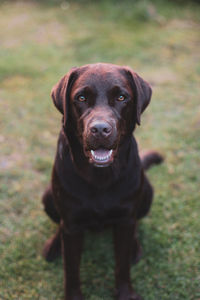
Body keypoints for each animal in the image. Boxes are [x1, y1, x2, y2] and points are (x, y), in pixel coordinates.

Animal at [41, 62, 163, 298]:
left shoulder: (125, 220)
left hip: (147, 194)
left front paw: (125, 293)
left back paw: (135, 246)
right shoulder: (72, 224)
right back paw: (54, 246)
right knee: (59, 225)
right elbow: (71, 270)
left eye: (122, 97)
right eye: (81, 98)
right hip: (48, 197)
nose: (99, 129)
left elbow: (122, 265)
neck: (100, 177)